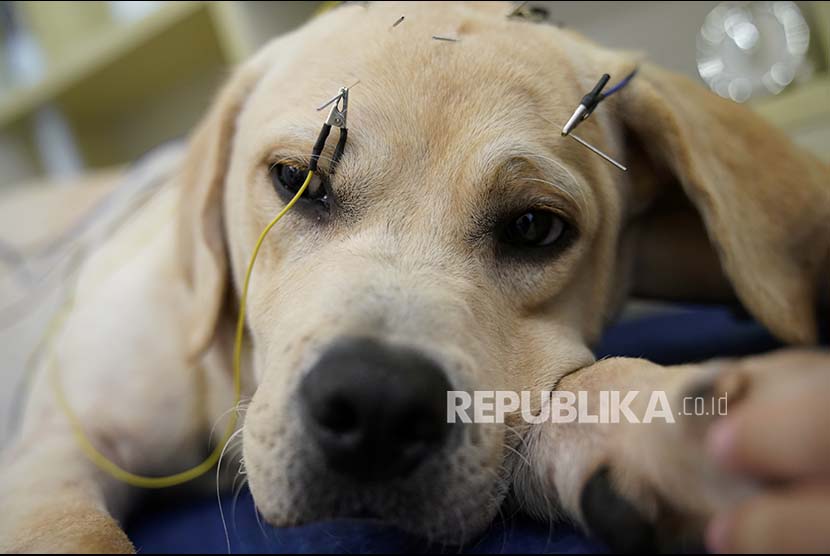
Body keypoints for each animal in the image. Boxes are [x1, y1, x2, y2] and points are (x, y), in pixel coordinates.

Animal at [1, 3, 830, 552]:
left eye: (535, 227)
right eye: (297, 179)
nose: (375, 405)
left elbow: (579, 387)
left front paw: (678, 436)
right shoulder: (53, 451)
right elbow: (71, 527)